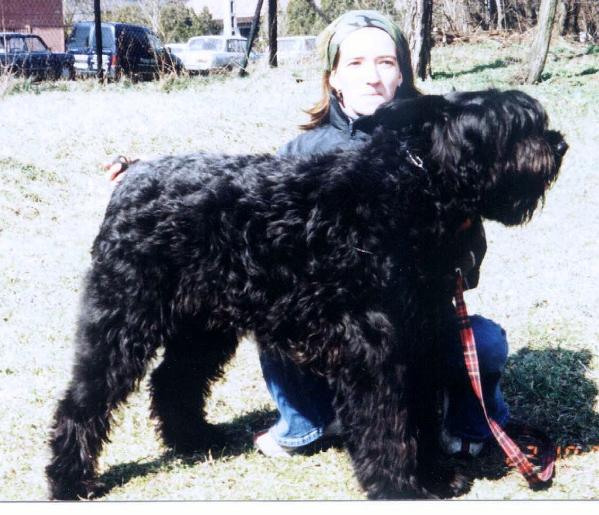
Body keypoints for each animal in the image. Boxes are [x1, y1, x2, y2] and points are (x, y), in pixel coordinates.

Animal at [45, 88, 568, 500]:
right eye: (514, 125)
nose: (559, 143)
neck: (408, 193)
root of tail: (130, 178)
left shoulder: (421, 340)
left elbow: (418, 416)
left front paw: (436, 478)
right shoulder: (376, 349)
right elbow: (388, 423)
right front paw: (398, 486)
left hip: (203, 327)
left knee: (175, 380)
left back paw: (195, 439)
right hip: (122, 319)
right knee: (85, 398)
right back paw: (69, 480)